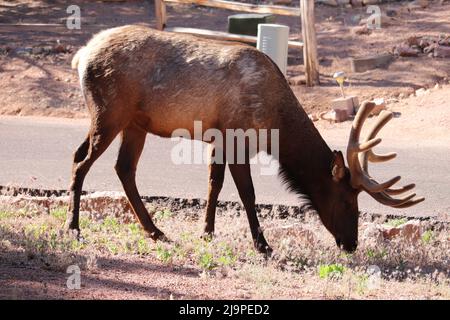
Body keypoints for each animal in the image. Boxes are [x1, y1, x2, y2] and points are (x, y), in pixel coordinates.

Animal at [68, 25, 424, 254]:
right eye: (348, 201)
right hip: (109, 112)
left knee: (120, 167)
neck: (274, 124)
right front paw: (263, 245)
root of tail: (81, 55)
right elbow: (247, 193)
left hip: (133, 123)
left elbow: (214, 184)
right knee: (82, 162)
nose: (351, 244)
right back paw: (74, 228)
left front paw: (207, 232)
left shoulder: (218, 139)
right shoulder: (239, 138)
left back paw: (155, 231)